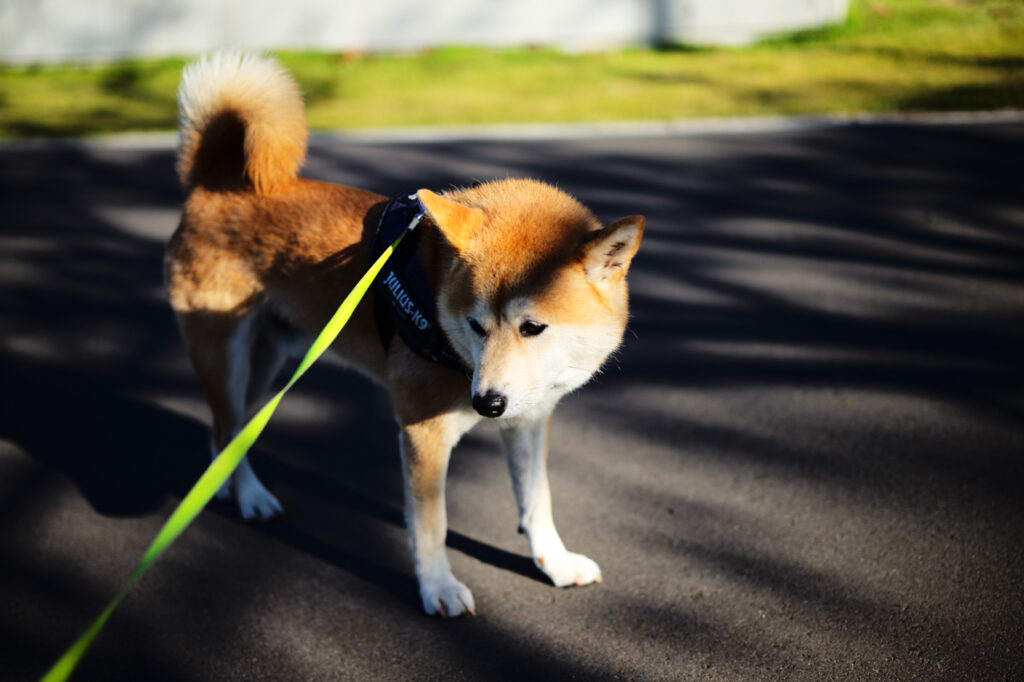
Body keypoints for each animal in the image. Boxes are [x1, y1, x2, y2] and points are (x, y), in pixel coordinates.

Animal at [165, 51, 647, 614]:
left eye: (533, 327)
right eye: (475, 325)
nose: (487, 404)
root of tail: (212, 184)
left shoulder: (529, 421)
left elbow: (537, 501)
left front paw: (555, 563)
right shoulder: (424, 432)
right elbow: (432, 525)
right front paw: (438, 588)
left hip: (269, 364)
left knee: (228, 427)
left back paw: (225, 488)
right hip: (227, 357)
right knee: (228, 424)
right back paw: (252, 498)